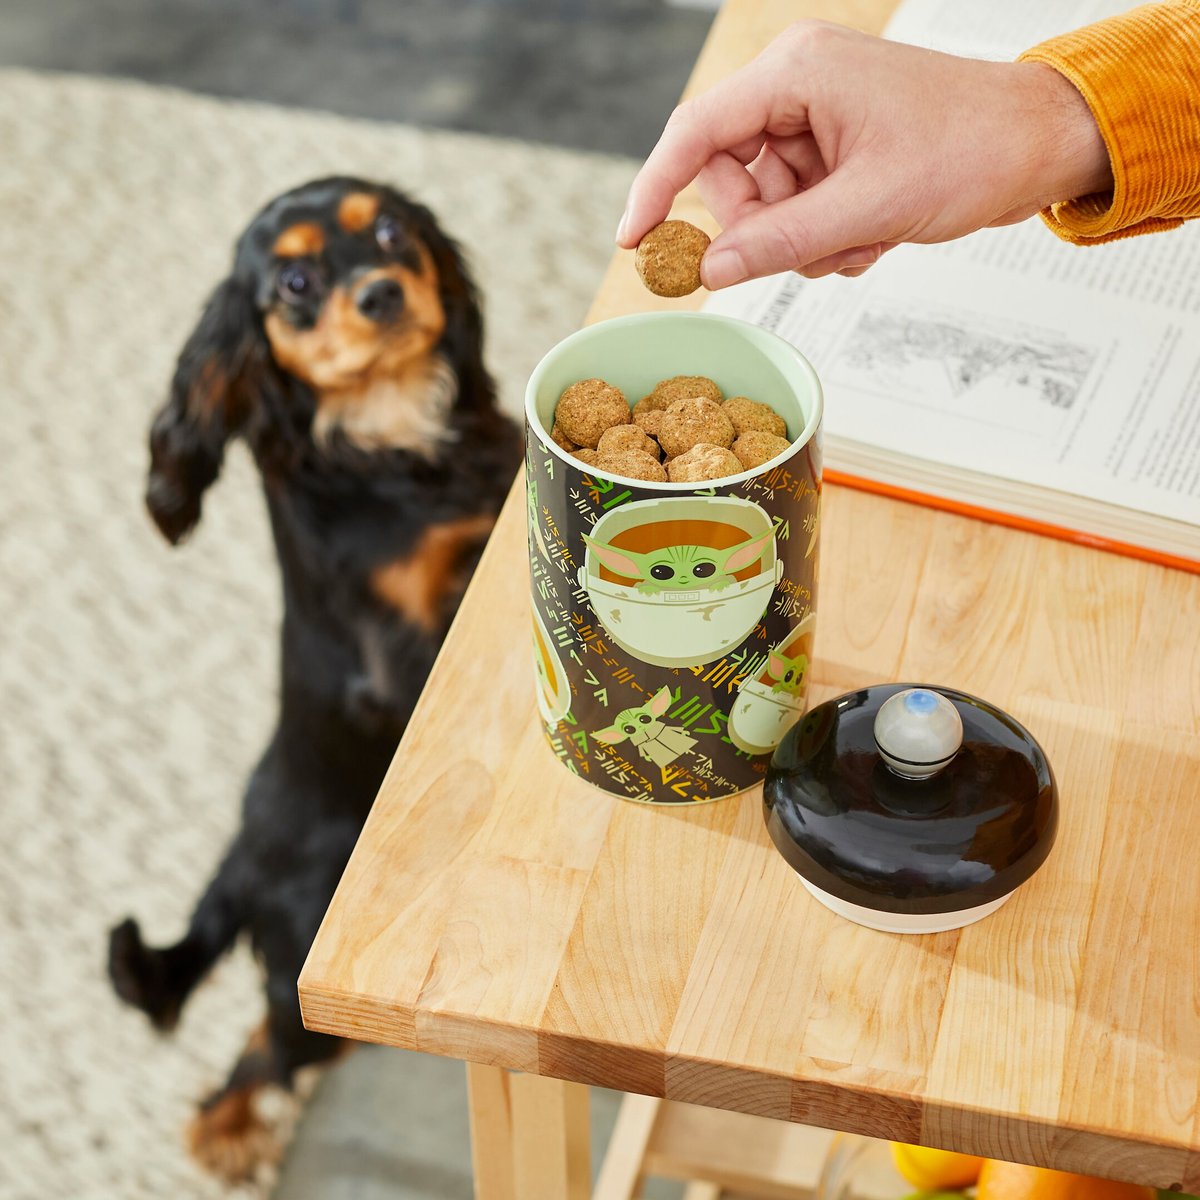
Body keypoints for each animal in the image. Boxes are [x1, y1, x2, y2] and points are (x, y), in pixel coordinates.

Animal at [104, 177, 516, 1180]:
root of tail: (244, 852)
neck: (391, 436)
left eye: (392, 231)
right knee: (265, 1044)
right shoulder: (406, 640)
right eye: (292, 281)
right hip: (302, 947)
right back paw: (230, 1135)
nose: (382, 294)